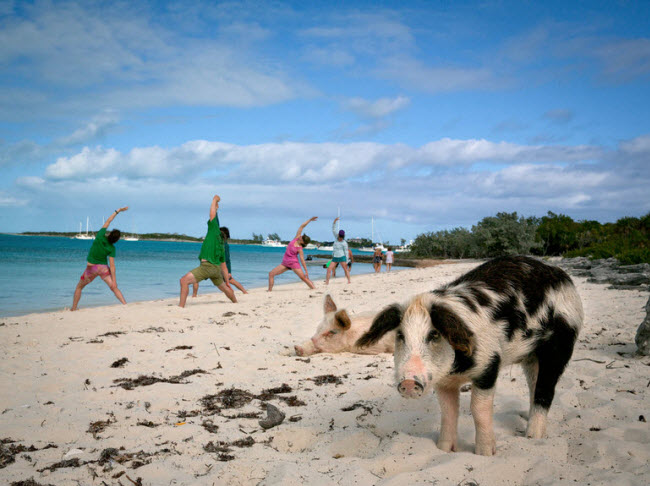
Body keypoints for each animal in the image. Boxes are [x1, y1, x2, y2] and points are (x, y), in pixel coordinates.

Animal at [354, 256, 584, 458]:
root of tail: (561, 276)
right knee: (534, 385)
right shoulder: (444, 381)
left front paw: (485, 454)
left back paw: (532, 437)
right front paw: (444, 449)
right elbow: (448, 411)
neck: (458, 369)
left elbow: (478, 409)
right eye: (401, 335)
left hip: (560, 345)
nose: (409, 382)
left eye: (434, 334)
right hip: (530, 356)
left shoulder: (489, 366)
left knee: (546, 390)